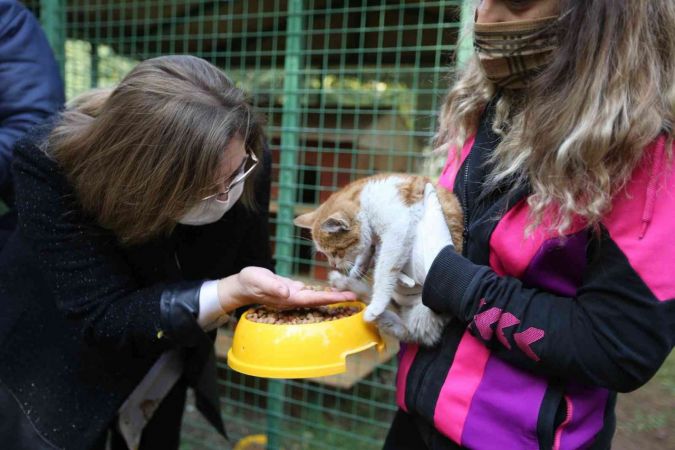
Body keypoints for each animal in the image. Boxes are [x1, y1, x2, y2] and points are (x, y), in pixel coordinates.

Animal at [294, 174, 462, 346]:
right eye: (326, 254)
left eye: (335, 252)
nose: (332, 264)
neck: (366, 201)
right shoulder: (376, 238)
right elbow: (367, 250)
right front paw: (358, 269)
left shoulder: (397, 231)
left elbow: (384, 271)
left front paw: (377, 303)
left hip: (425, 311)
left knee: (410, 331)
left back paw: (376, 313)